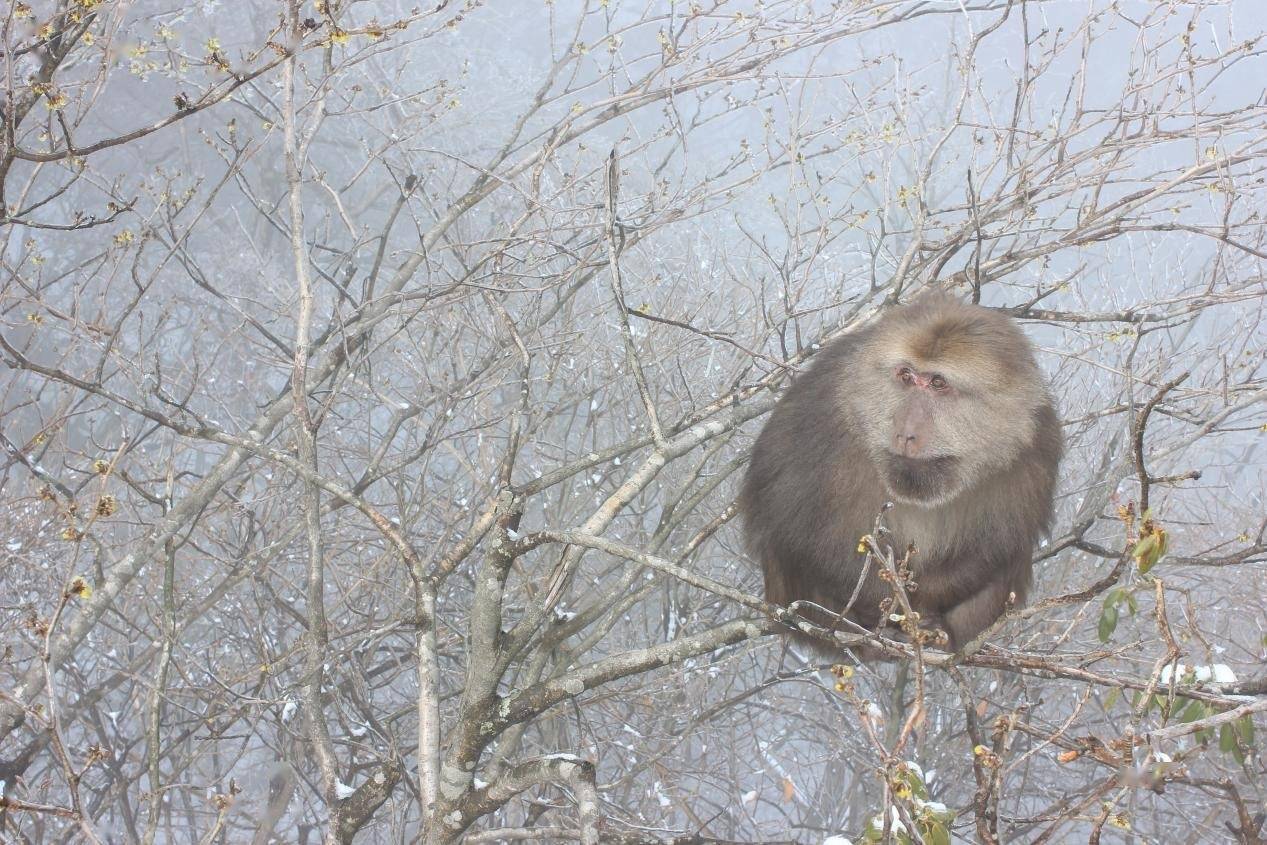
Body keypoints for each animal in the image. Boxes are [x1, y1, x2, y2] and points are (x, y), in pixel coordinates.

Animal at [739, 291, 1064, 653]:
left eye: (937, 383)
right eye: (906, 376)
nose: (905, 432)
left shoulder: (1036, 449)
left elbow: (996, 545)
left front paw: (927, 615)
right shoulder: (825, 421)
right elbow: (804, 534)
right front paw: (891, 611)